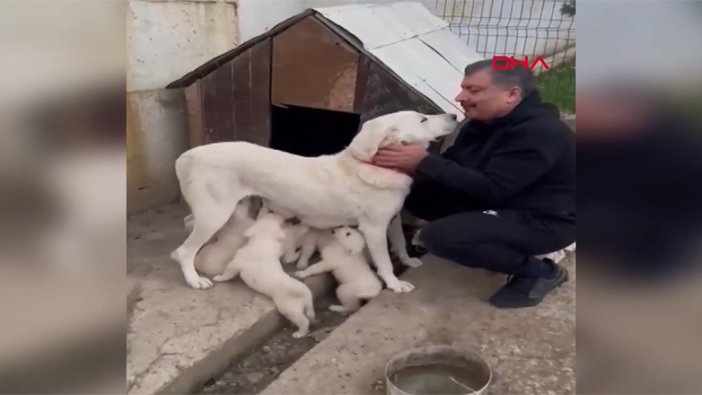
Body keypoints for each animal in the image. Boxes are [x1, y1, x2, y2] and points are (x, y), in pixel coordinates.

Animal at [173, 110, 460, 292]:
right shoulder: (374, 229)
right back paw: (193, 279)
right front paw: (394, 284)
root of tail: (187, 155)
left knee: (188, 225)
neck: (376, 165)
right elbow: (385, 262)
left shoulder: (393, 218)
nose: (455, 116)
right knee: (186, 249)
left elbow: (399, 242)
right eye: (423, 119)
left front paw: (408, 262)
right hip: (215, 212)